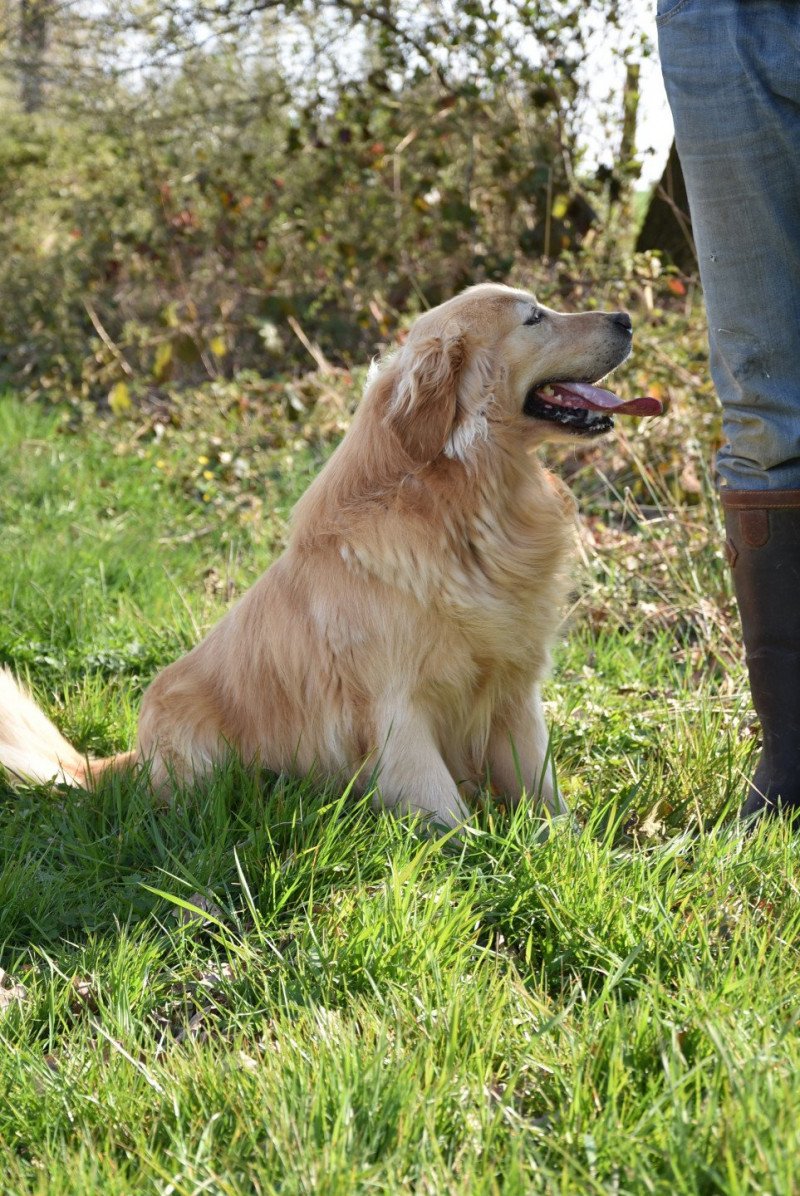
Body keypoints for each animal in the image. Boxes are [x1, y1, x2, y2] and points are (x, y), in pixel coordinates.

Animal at [0, 282, 660, 822]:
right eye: (534, 318)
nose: (628, 317)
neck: (464, 503)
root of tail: (126, 759)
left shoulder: (516, 694)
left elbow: (546, 799)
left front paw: (569, 850)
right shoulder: (399, 712)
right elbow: (450, 817)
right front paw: (484, 865)